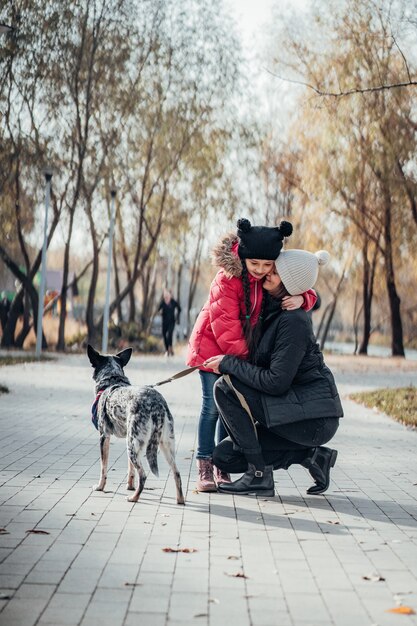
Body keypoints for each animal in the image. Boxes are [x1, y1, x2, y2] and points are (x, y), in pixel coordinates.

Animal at [86, 342, 184, 502]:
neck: (112, 380)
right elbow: (130, 469)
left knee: (143, 475)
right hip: (163, 445)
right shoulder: (128, 437)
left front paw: (100, 487)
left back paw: (134, 497)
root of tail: (156, 406)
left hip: (133, 445)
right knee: (176, 473)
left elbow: (103, 467)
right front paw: (130, 485)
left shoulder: (104, 436)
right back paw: (180, 500)